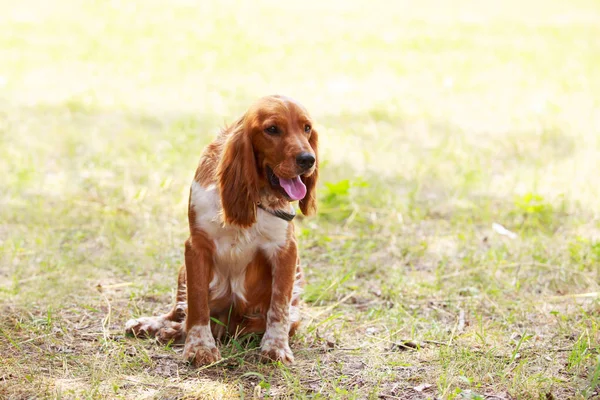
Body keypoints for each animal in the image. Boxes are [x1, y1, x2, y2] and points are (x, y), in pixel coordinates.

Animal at [125, 95, 318, 368]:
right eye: (272, 129)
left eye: (307, 128)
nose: (308, 159)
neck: (252, 197)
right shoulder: (196, 248)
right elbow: (196, 303)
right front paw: (200, 348)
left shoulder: (285, 251)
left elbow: (278, 307)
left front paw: (276, 347)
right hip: (182, 271)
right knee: (178, 309)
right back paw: (154, 325)